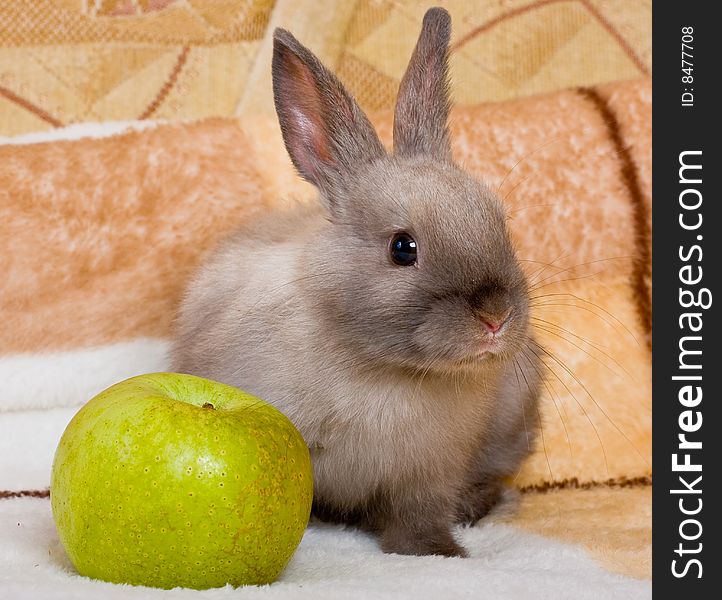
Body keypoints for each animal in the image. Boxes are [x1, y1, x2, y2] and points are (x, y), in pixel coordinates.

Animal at [170, 5, 540, 556]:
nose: (495, 316)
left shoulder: (430, 472)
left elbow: (419, 514)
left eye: (499, 222)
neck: (385, 369)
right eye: (403, 248)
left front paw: (436, 552)